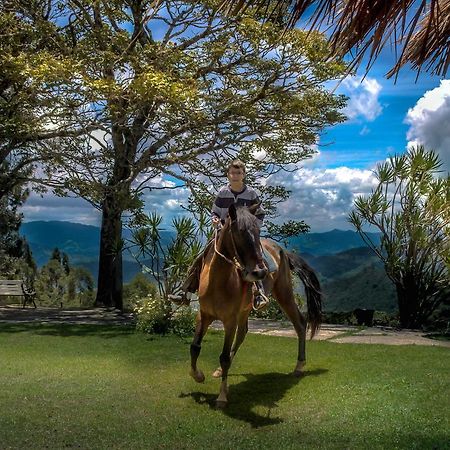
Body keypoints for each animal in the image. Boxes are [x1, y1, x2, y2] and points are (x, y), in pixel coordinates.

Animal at [188, 204, 322, 408]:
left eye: (258, 232)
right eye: (239, 232)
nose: (260, 272)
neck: (217, 282)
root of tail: (283, 252)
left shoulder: (229, 320)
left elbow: (224, 356)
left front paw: (222, 397)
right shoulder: (203, 315)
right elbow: (195, 347)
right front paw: (198, 376)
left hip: (283, 293)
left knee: (300, 323)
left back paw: (299, 366)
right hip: (245, 310)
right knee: (243, 332)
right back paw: (218, 370)